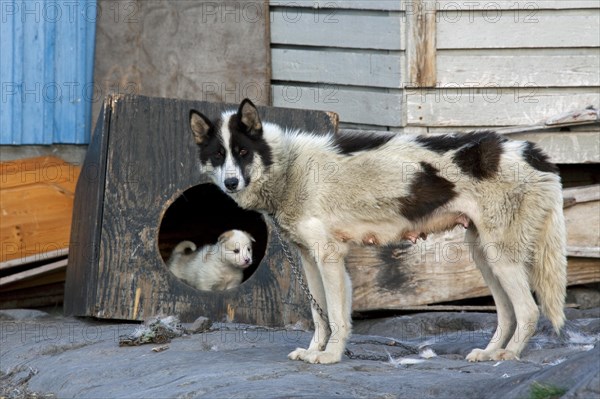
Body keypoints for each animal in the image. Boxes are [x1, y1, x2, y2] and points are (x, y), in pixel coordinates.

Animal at [189, 99, 568, 366]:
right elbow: (319, 316)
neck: (289, 168)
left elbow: (336, 317)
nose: (231, 183)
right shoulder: (311, 262)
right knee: (508, 314)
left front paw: (330, 356)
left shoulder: (329, 258)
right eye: (218, 155)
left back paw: (509, 355)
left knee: (529, 311)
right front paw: (314, 352)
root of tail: (534, 152)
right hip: (485, 258)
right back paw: (490, 353)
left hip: (500, 258)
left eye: (242, 152)